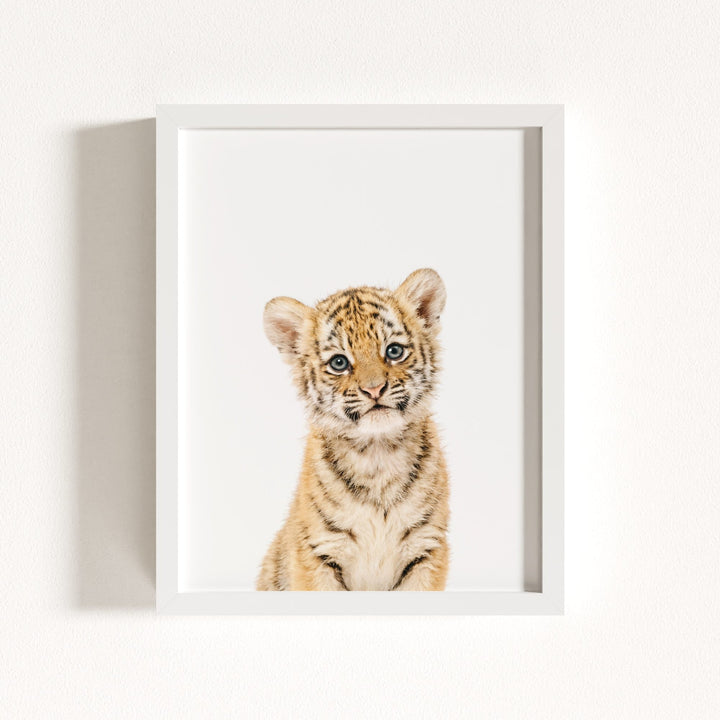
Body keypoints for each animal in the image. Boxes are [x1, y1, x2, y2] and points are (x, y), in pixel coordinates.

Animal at [256, 268, 450, 591]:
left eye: (394, 351)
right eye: (339, 362)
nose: (374, 389)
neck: (378, 453)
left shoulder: (427, 548)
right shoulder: (317, 552)